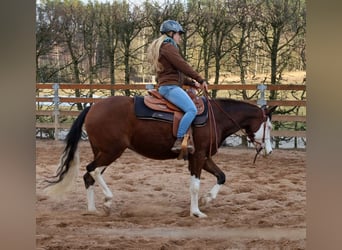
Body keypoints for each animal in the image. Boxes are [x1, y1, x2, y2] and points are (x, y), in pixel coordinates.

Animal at [44, 94, 276, 217]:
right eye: (270, 126)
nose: (270, 151)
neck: (216, 118)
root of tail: (94, 107)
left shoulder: (202, 157)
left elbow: (221, 176)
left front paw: (207, 199)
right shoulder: (199, 156)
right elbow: (195, 186)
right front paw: (196, 212)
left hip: (103, 151)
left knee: (90, 175)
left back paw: (93, 209)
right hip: (111, 151)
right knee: (92, 170)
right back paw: (108, 200)